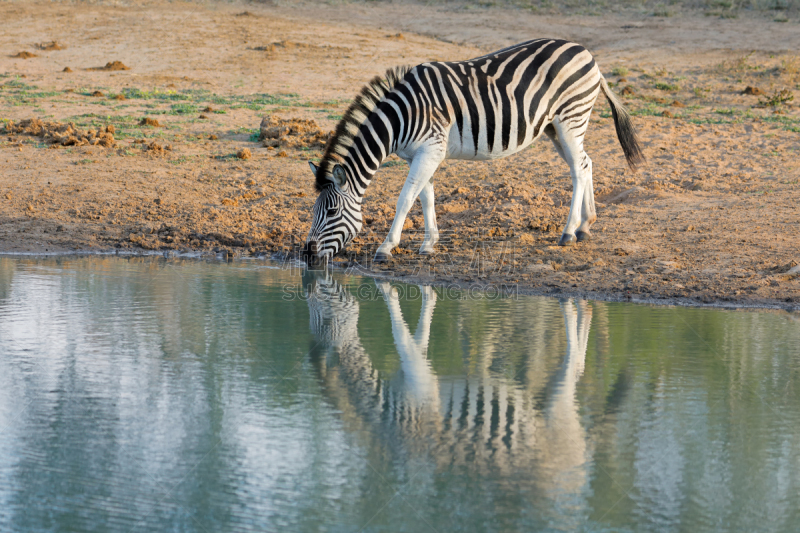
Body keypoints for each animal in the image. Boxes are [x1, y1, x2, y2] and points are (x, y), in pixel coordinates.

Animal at [300, 37, 644, 262]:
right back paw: (585, 225)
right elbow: (426, 196)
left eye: (331, 212)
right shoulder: (422, 154)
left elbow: (405, 199)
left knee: (579, 168)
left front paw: (387, 247)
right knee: (585, 164)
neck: (401, 117)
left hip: (570, 119)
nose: (307, 253)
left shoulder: (431, 149)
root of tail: (586, 53)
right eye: (313, 211)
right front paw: (429, 244)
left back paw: (569, 232)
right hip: (555, 128)